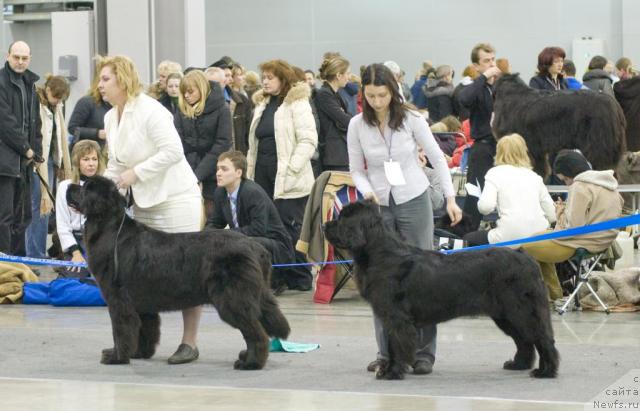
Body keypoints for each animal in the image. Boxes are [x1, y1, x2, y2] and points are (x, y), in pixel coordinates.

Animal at [65, 177, 290, 370]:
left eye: (86, 188)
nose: (68, 186)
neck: (109, 228)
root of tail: (256, 247)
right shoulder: (141, 303)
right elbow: (145, 329)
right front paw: (139, 353)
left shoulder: (118, 298)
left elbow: (120, 329)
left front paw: (116, 356)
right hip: (255, 294)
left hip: (232, 298)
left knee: (255, 332)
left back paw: (250, 363)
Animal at [322, 201, 556, 382]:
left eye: (342, 218)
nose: (325, 224)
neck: (379, 253)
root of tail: (527, 258)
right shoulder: (387, 315)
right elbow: (390, 344)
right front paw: (387, 370)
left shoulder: (397, 317)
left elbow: (397, 345)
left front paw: (392, 373)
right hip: (505, 315)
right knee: (524, 340)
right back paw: (518, 364)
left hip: (521, 311)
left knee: (542, 338)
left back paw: (546, 372)